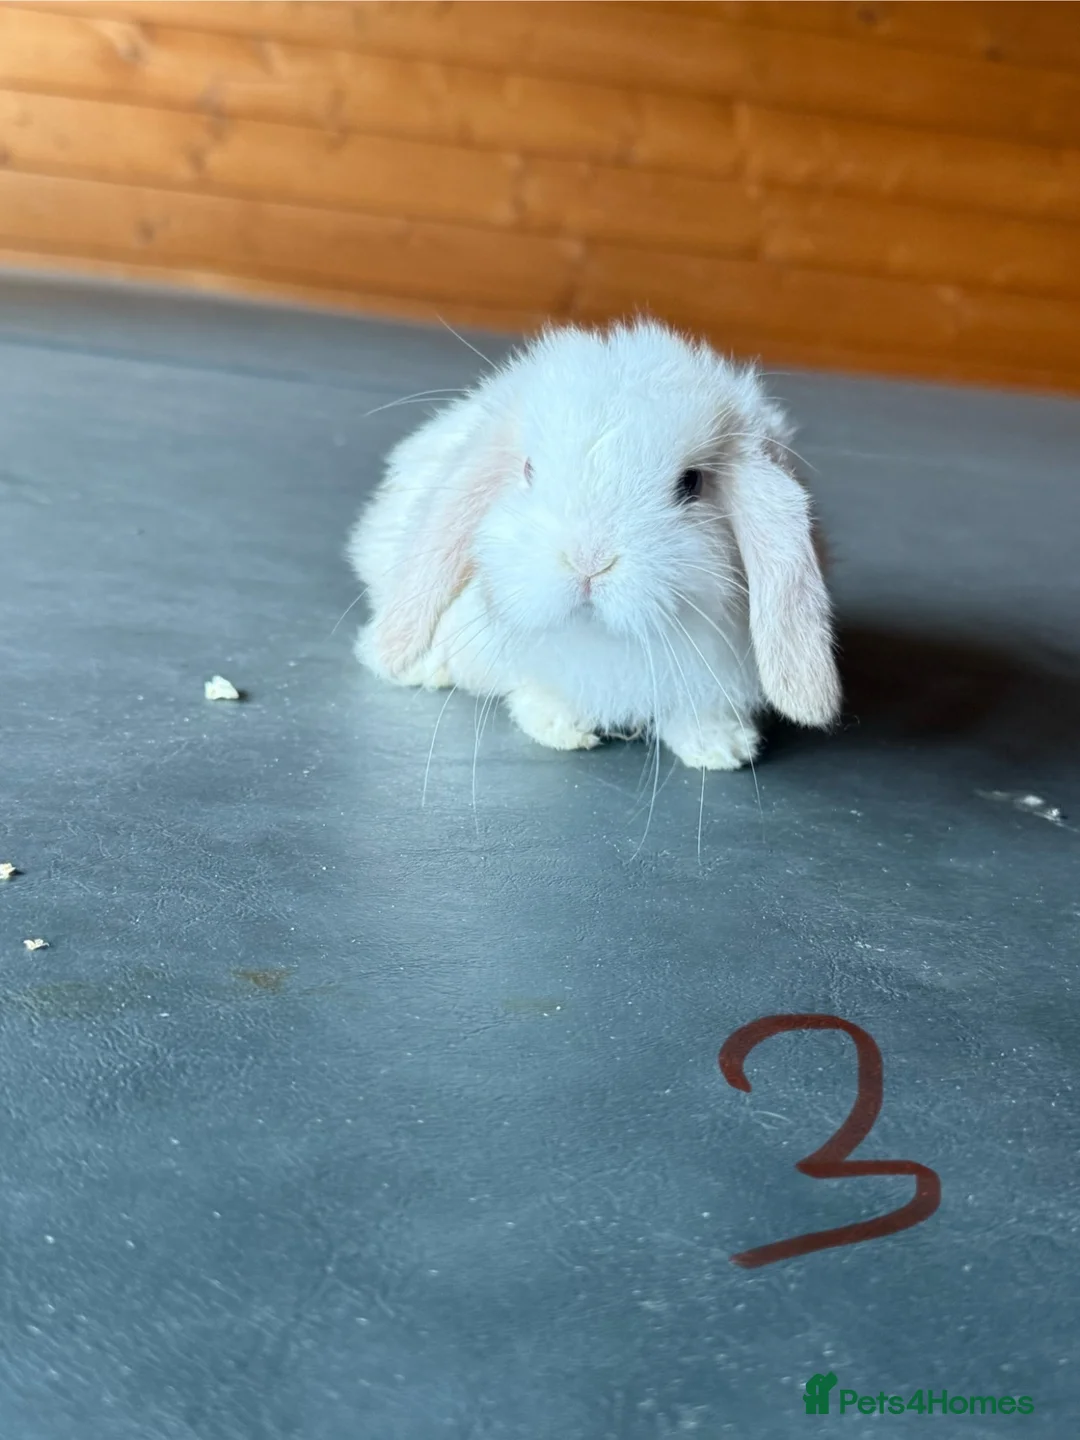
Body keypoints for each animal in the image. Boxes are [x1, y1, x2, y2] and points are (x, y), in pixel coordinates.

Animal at [346, 317, 840, 770]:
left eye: (691, 483)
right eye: (528, 470)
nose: (588, 561)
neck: (601, 639)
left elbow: (697, 715)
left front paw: (722, 750)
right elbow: (533, 691)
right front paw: (562, 729)